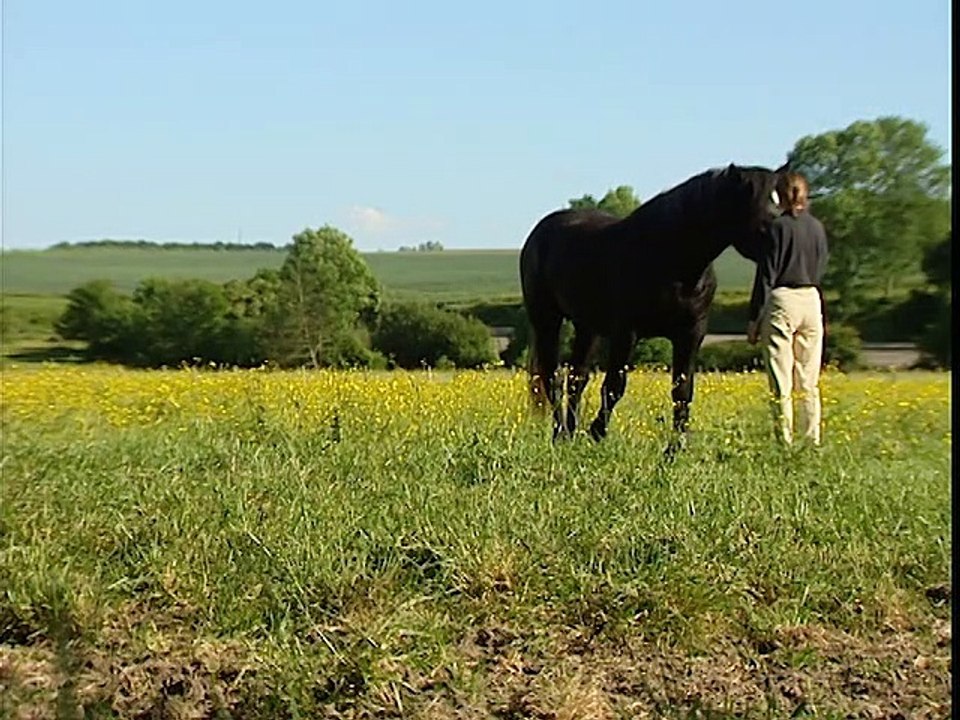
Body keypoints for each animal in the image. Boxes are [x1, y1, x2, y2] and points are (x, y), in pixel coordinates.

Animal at [519, 162, 787, 447]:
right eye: (766, 218)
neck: (670, 259)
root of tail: (540, 232)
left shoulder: (690, 335)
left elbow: (682, 391)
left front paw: (675, 448)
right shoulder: (626, 332)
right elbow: (614, 385)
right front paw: (598, 432)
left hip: (587, 327)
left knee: (576, 378)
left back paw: (570, 434)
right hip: (547, 320)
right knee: (552, 377)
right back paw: (559, 434)